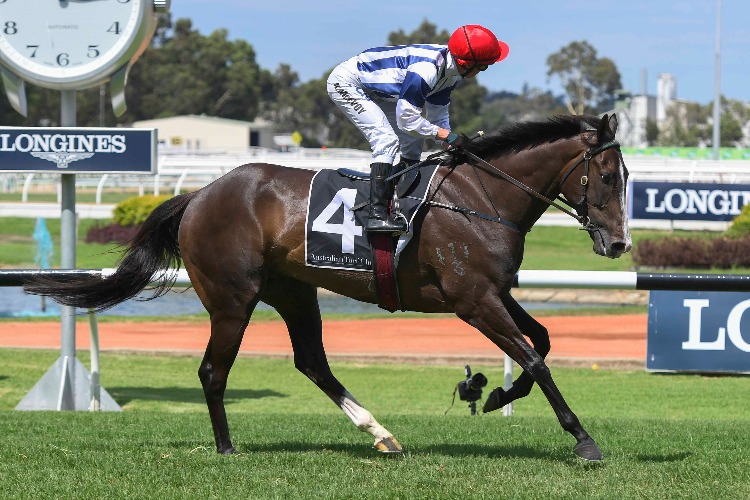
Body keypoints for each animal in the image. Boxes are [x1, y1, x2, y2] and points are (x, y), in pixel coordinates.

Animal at [23, 112, 632, 460]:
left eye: (625, 178)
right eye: (607, 177)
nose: (620, 244)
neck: (482, 198)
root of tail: (198, 195)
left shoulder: (495, 292)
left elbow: (542, 342)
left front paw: (493, 392)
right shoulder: (473, 300)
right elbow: (534, 358)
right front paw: (582, 439)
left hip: (294, 290)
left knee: (312, 361)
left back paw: (380, 434)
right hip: (233, 298)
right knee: (213, 371)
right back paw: (226, 447)